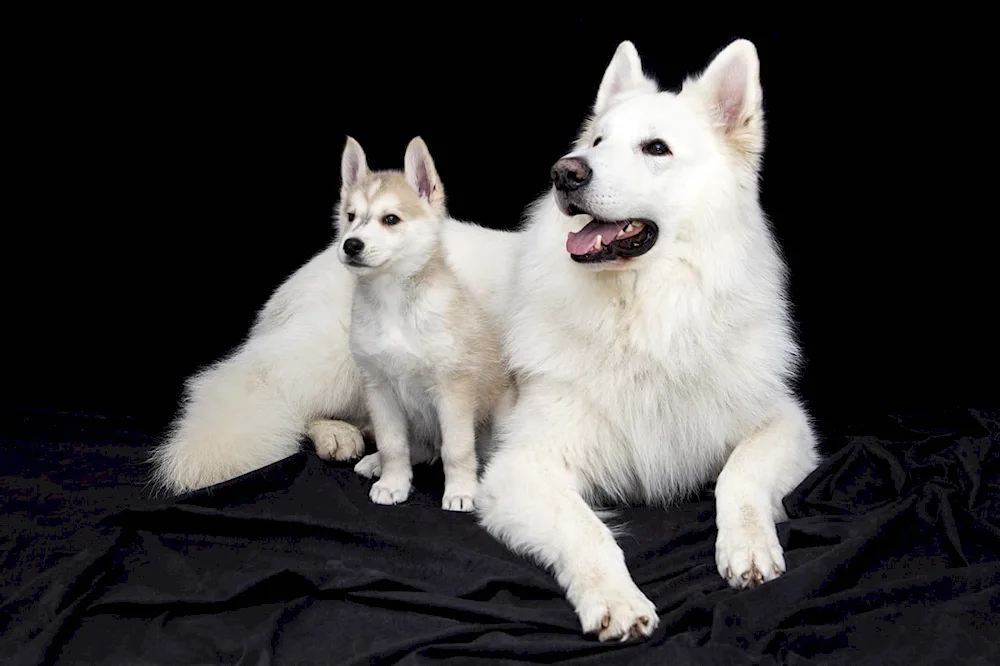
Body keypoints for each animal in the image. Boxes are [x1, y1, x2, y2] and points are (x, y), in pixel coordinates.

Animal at [336, 135, 512, 508]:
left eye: (390, 219)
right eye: (350, 216)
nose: (351, 245)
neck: (393, 302)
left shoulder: (453, 389)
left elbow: (457, 449)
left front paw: (461, 492)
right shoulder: (380, 389)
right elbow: (393, 445)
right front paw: (393, 483)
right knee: (419, 448)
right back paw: (375, 463)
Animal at [476, 39, 820, 640]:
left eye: (656, 148)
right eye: (596, 142)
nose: (564, 172)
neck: (645, 317)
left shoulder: (785, 424)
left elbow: (740, 476)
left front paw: (749, 546)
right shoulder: (521, 466)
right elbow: (587, 529)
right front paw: (616, 599)